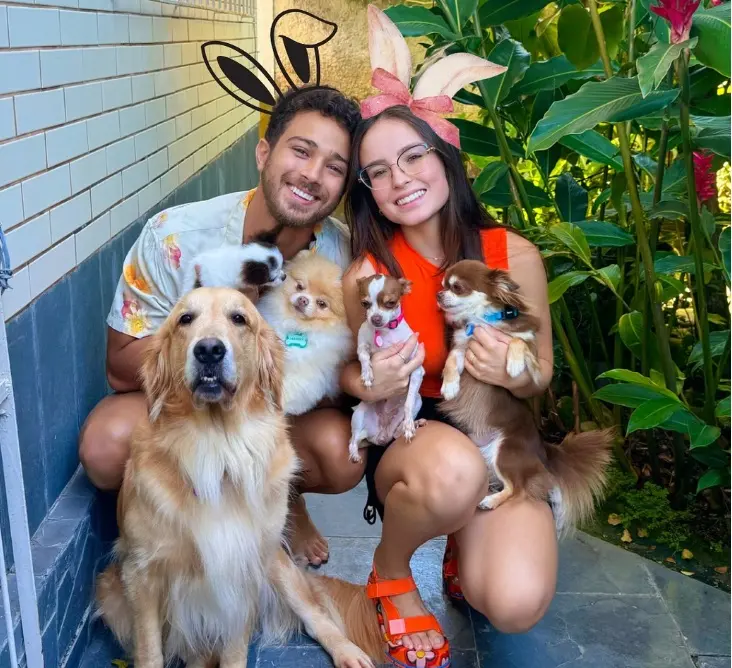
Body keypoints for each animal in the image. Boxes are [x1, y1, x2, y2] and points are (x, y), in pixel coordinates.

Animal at [94, 287, 373, 668]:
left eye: (239, 318)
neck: (218, 447)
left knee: (317, 617)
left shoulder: (244, 571)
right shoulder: (141, 574)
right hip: (110, 591)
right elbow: (150, 652)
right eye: (185, 319)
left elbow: (235, 649)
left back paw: (348, 652)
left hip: (279, 565)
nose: (209, 350)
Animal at [257, 250, 353, 416]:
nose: (303, 300)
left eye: (322, 304)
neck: (297, 327)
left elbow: (293, 389)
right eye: (300, 286)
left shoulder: (311, 373)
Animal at [348, 274, 426, 463]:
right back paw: (354, 454)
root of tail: (381, 436)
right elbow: (363, 355)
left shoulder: (417, 371)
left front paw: (409, 424)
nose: (375, 318)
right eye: (364, 303)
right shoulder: (362, 345)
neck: (384, 333)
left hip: (418, 401)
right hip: (359, 415)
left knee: (398, 433)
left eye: (391, 302)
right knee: (352, 440)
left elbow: (408, 401)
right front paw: (367, 373)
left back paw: (413, 424)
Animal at [437, 260, 613, 535]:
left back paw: (491, 501)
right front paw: (450, 386)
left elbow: (517, 343)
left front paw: (514, 364)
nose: (438, 294)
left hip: (506, 450)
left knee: (517, 490)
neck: (482, 320)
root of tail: (543, 449)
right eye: (444, 284)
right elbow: (451, 361)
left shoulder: (531, 348)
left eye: (457, 287)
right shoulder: (462, 346)